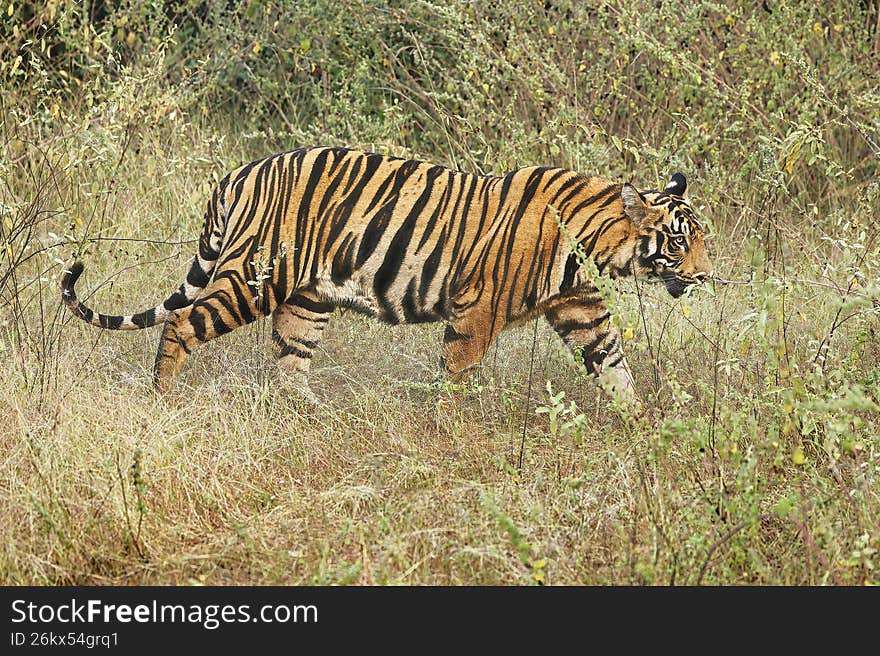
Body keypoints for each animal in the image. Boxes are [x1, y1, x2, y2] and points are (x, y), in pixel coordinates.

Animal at [61, 146, 712, 405]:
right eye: (681, 240)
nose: (707, 276)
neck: (593, 243)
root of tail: (239, 173)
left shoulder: (580, 308)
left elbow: (615, 365)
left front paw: (641, 425)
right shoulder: (476, 309)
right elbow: (458, 372)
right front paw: (449, 427)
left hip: (307, 299)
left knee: (289, 362)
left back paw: (308, 412)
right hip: (253, 278)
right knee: (181, 322)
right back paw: (162, 397)